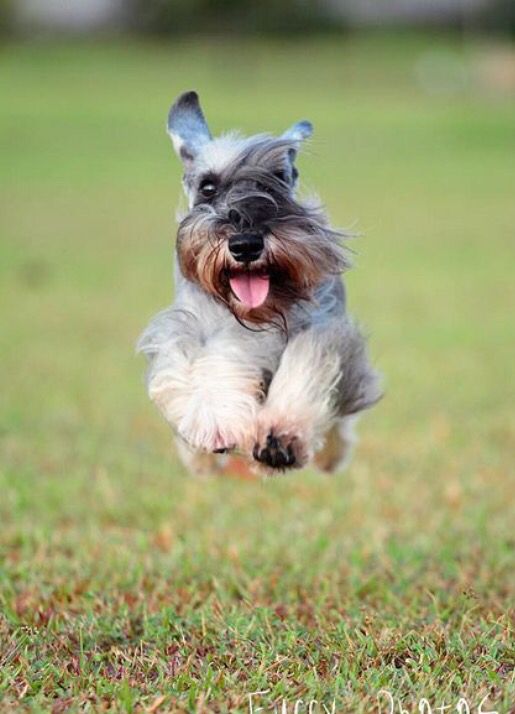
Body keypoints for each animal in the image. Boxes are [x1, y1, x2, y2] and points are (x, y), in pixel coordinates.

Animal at [135, 92, 380, 476]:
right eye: (208, 187)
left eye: (277, 178)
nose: (246, 244)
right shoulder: (187, 330)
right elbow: (203, 365)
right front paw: (214, 421)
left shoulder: (321, 330)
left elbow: (305, 367)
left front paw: (280, 437)